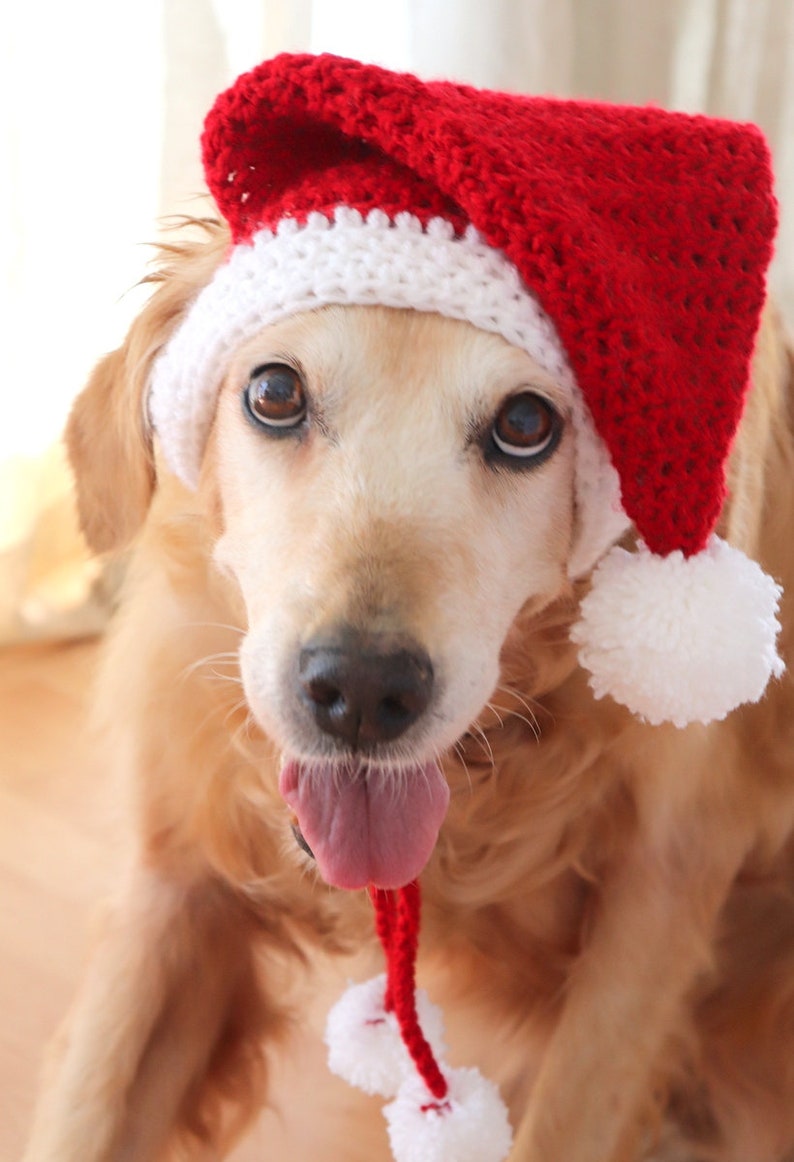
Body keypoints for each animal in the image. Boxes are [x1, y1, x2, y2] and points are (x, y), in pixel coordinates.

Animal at [20, 204, 794, 1157]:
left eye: (527, 422)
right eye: (274, 393)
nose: (360, 692)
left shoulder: (659, 896)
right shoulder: (176, 884)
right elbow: (88, 1109)